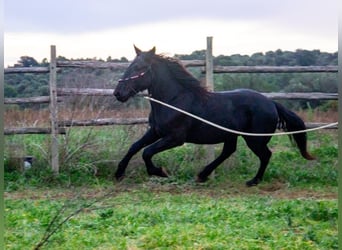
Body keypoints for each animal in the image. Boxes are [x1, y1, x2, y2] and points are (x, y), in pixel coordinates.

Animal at [113, 46, 314, 186]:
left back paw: (252, 181)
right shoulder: (155, 131)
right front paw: (118, 173)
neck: (174, 100)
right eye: (130, 65)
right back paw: (203, 175)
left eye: (139, 67)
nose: (118, 93)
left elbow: (146, 152)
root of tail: (271, 103)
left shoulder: (175, 138)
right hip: (232, 135)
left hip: (254, 139)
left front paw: (159, 172)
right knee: (228, 152)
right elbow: (135, 147)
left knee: (265, 155)